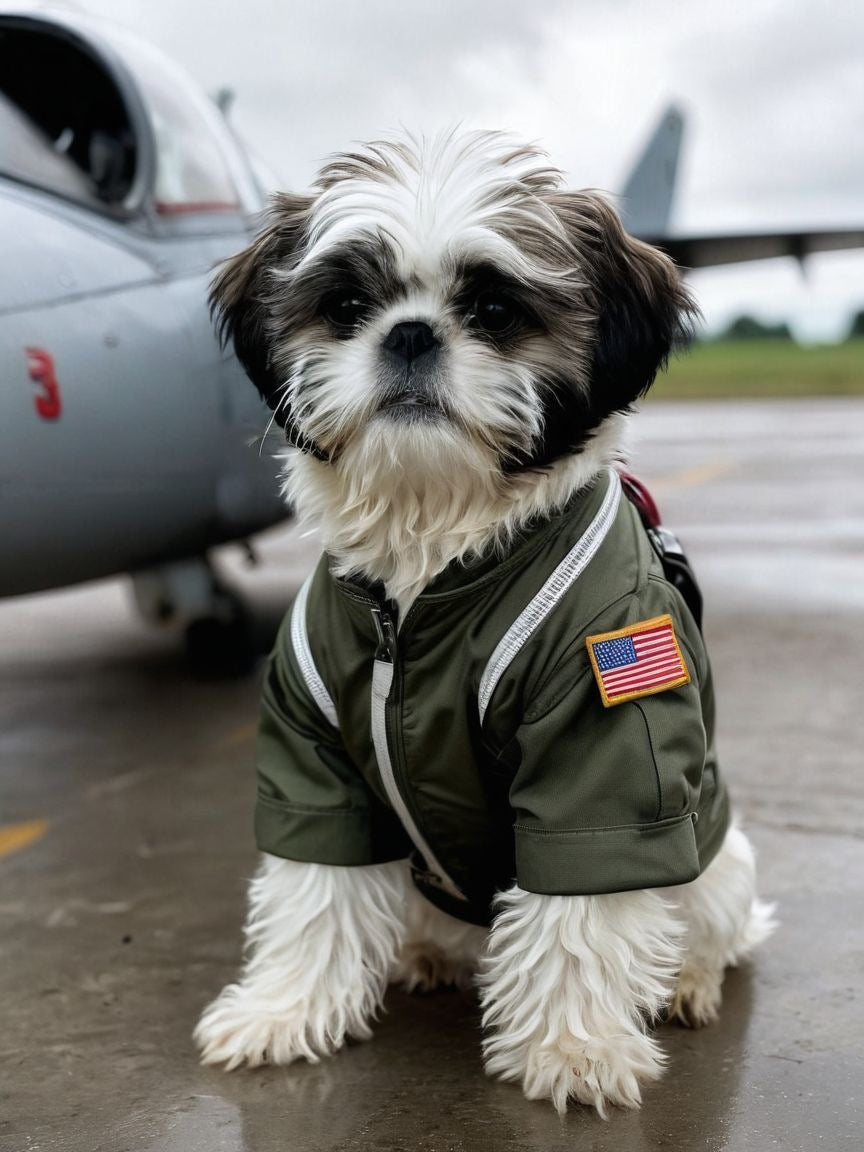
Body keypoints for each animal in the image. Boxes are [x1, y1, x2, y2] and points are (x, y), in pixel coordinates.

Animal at [198, 130, 778, 1110]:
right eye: (347, 306)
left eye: (497, 311)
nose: (410, 333)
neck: (427, 572)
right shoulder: (314, 751)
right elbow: (315, 888)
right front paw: (285, 1009)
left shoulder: (603, 738)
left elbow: (582, 902)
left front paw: (575, 1050)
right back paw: (428, 955)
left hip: (717, 857)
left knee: (709, 925)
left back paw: (686, 982)